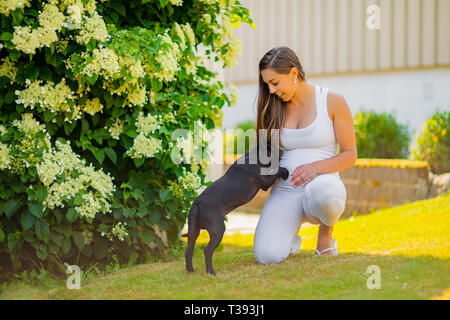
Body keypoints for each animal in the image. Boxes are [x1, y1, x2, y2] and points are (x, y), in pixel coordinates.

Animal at [182, 148, 288, 276]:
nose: (282, 152)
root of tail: (197, 203)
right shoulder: (265, 182)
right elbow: (276, 171)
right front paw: (285, 171)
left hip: (194, 231)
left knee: (189, 250)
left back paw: (190, 271)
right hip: (218, 229)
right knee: (207, 250)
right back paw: (211, 272)